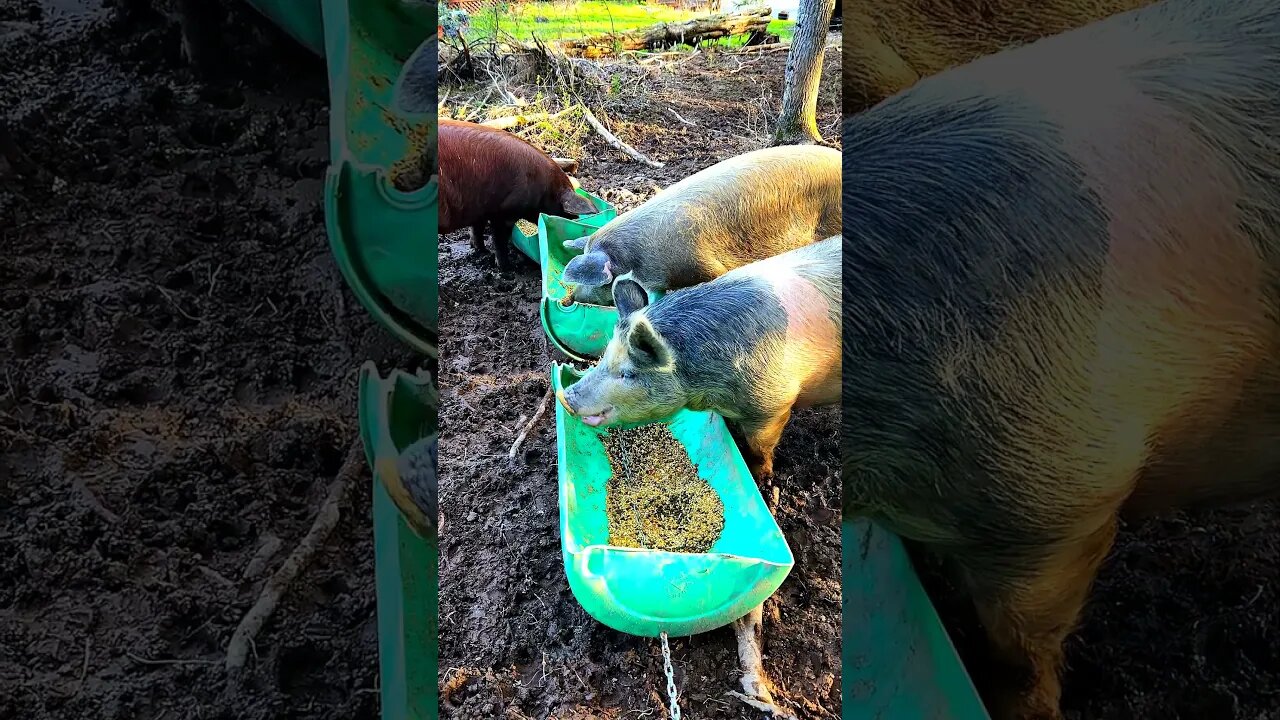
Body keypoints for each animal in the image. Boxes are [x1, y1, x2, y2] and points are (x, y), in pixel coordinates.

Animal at [440, 119, 599, 270]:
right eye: (563, 211)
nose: (576, 218)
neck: (544, 188)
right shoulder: (505, 213)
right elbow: (499, 240)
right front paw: (508, 268)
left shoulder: (480, 209)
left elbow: (476, 229)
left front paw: (482, 251)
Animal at [560, 234, 839, 712]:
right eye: (604, 357)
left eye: (629, 372)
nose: (569, 395)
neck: (708, 381)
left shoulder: (773, 405)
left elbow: (761, 450)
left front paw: (762, 477)